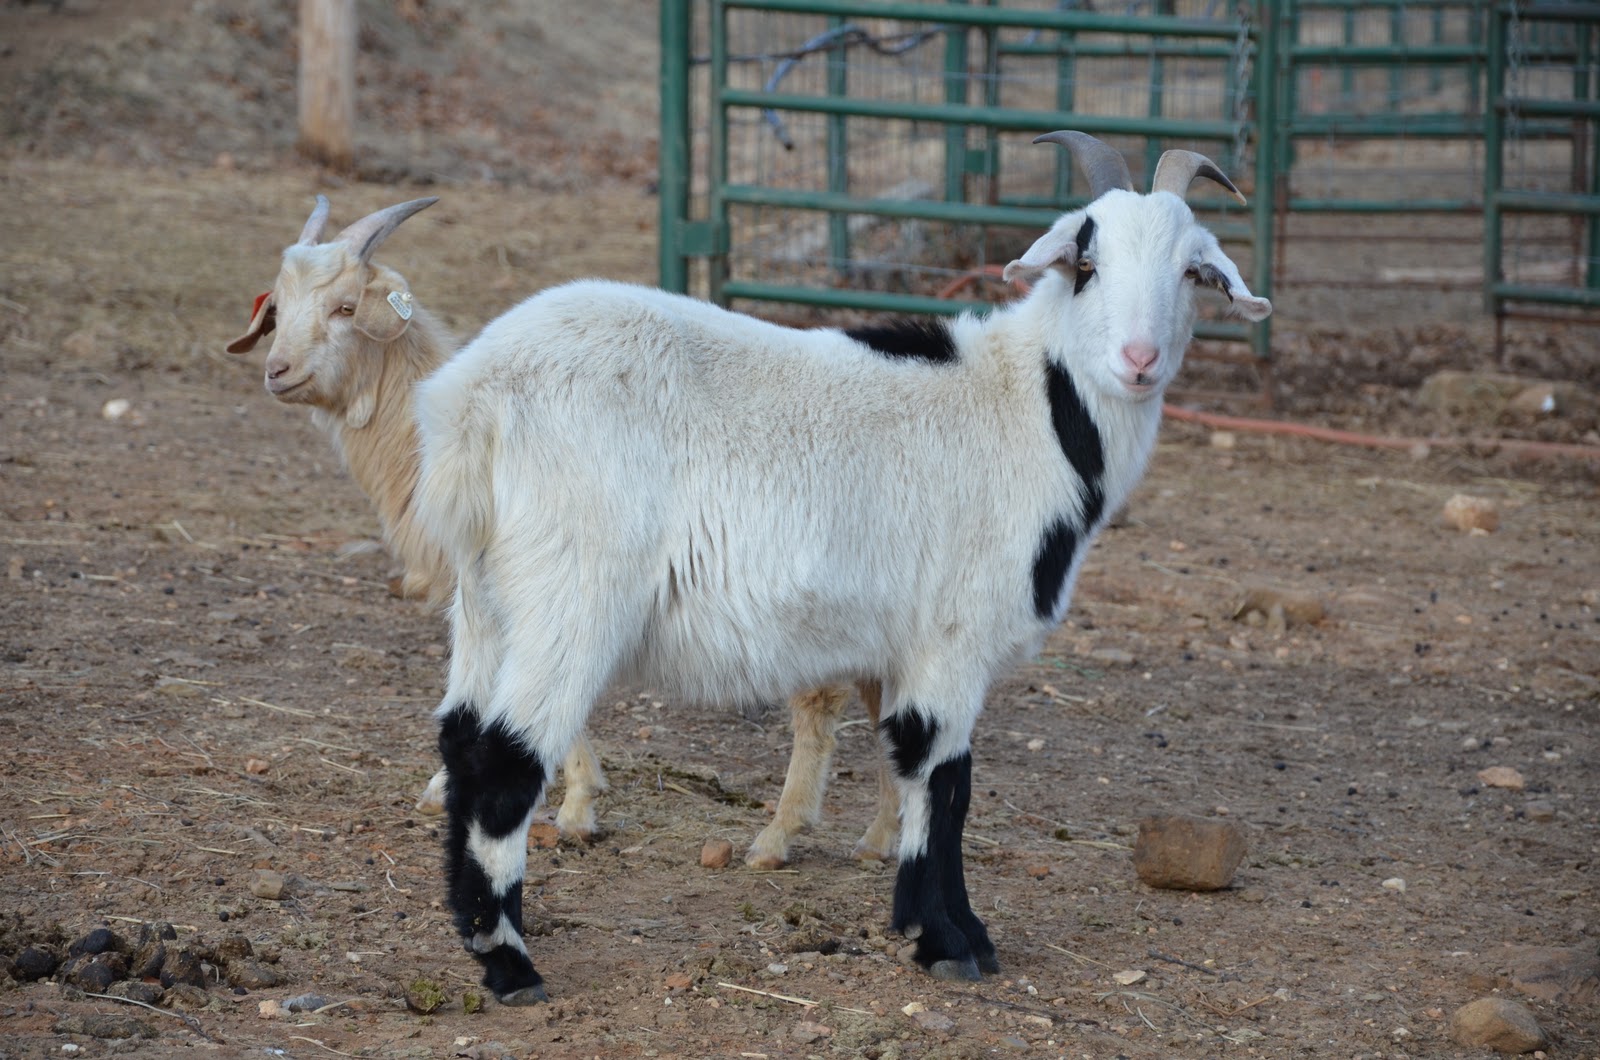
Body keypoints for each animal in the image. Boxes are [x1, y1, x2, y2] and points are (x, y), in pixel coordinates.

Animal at [224, 197, 899, 864]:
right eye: (277, 309)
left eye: (344, 307)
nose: (277, 371)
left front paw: (572, 804)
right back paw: (878, 837)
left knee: (822, 700)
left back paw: (782, 836)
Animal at [409, 131, 1272, 1003]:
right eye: (1086, 263)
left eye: (1191, 271)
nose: (1139, 358)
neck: (1030, 407)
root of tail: (475, 398)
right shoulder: (953, 634)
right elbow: (944, 777)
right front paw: (949, 940)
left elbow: (924, 770)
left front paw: (938, 926)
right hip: (573, 589)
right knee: (504, 758)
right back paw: (510, 963)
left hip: (487, 593)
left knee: (460, 740)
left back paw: (474, 932)